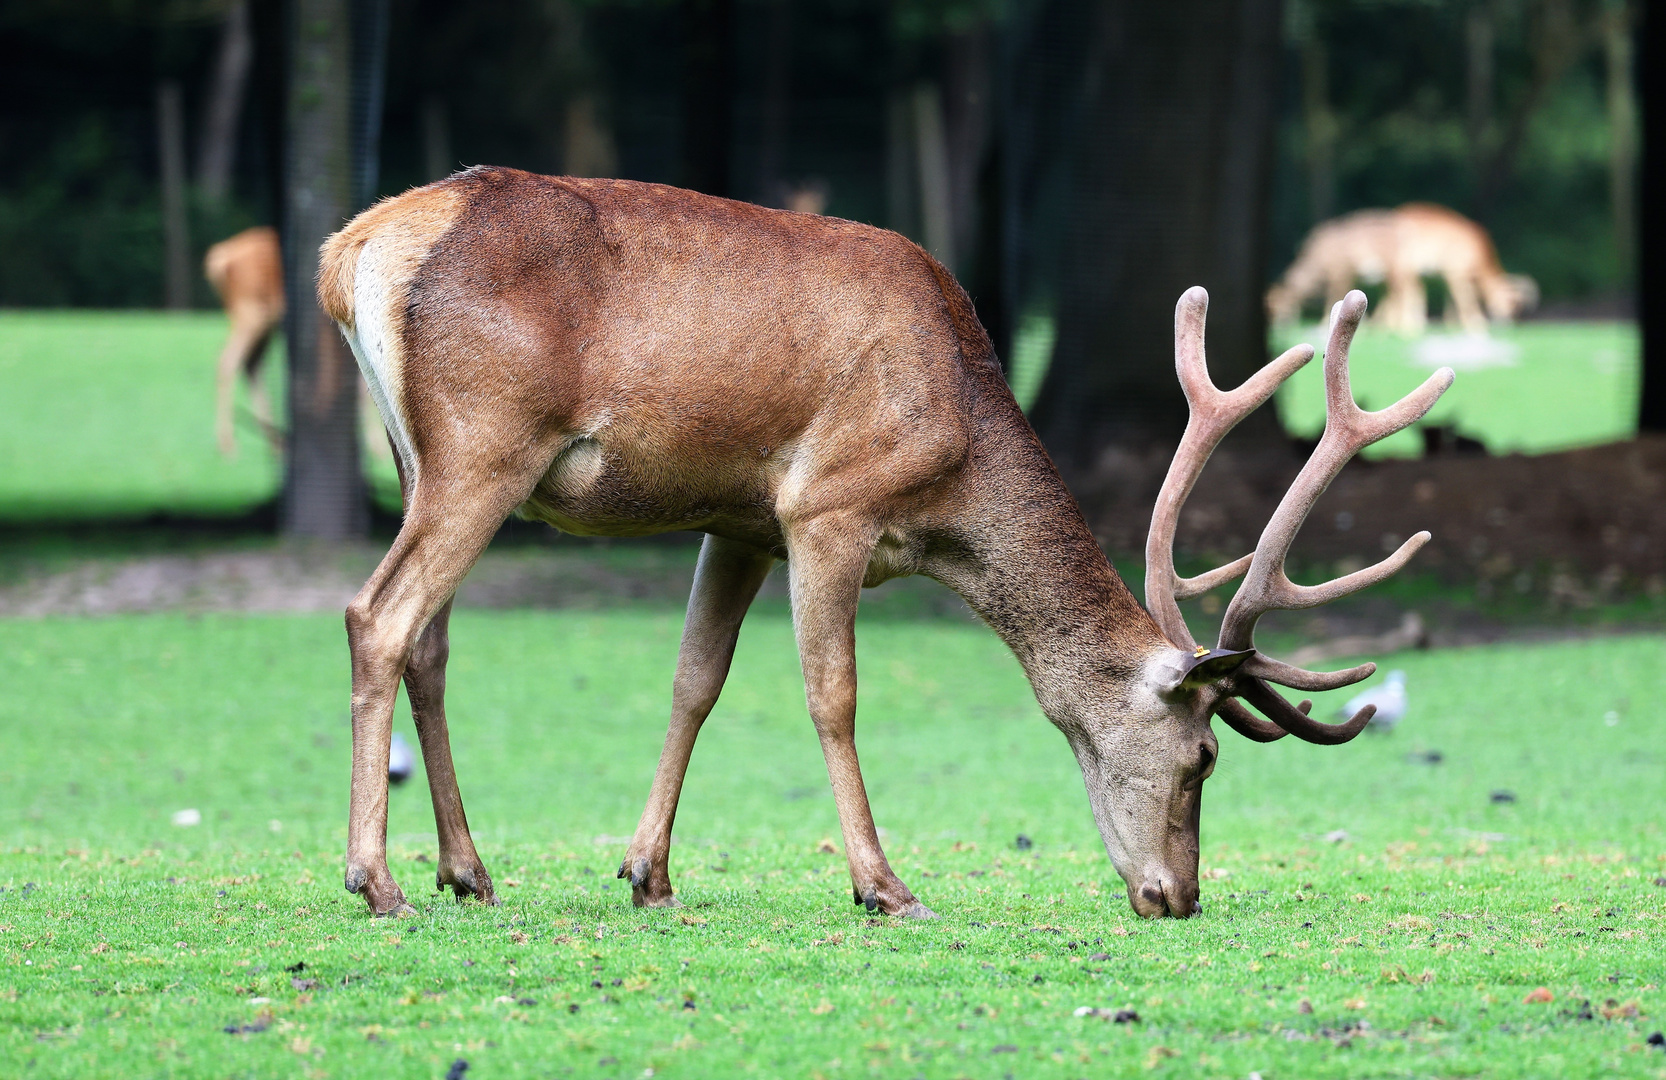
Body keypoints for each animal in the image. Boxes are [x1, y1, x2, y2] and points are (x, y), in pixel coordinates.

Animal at [318, 166, 1452, 920]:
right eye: (1203, 758)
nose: (1176, 896)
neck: (954, 461)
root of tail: (352, 251)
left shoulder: (739, 521)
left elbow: (695, 682)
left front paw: (649, 871)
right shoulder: (827, 505)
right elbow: (833, 693)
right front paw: (883, 884)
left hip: (418, 458)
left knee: (430, 643)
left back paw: (466, 870)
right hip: (486, 446)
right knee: (376, 615)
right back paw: (377, 881)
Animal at [1266, 202, 1539, 333]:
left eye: (1517, 306)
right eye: (1511, 303)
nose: (1507, 322)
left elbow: (1453, 300)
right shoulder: (1455, 270)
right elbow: (1463, 298)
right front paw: (1476, 326)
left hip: (1397, 269)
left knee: (1401, 292)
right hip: (1400, 268)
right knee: (1404, 292)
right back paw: (1400, 326)